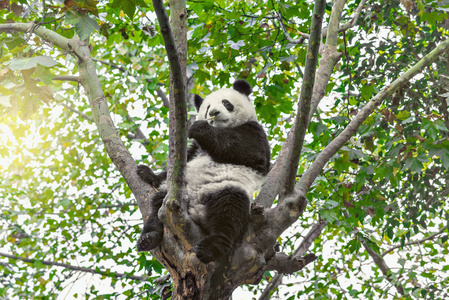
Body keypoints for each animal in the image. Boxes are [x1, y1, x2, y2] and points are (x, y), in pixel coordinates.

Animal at [136, 79, 270, 262]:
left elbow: (244, 149)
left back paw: (210, 248)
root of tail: (196, 214)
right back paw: (149, 238)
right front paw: (146, 173)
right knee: (156, 211)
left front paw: (199, 128)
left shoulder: (255, 133)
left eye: (226, 103)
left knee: (229, 213)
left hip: (226, 188)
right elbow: (179, 164)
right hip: (172, 196)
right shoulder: (194, 149)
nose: (213, 113)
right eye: (207, 107)